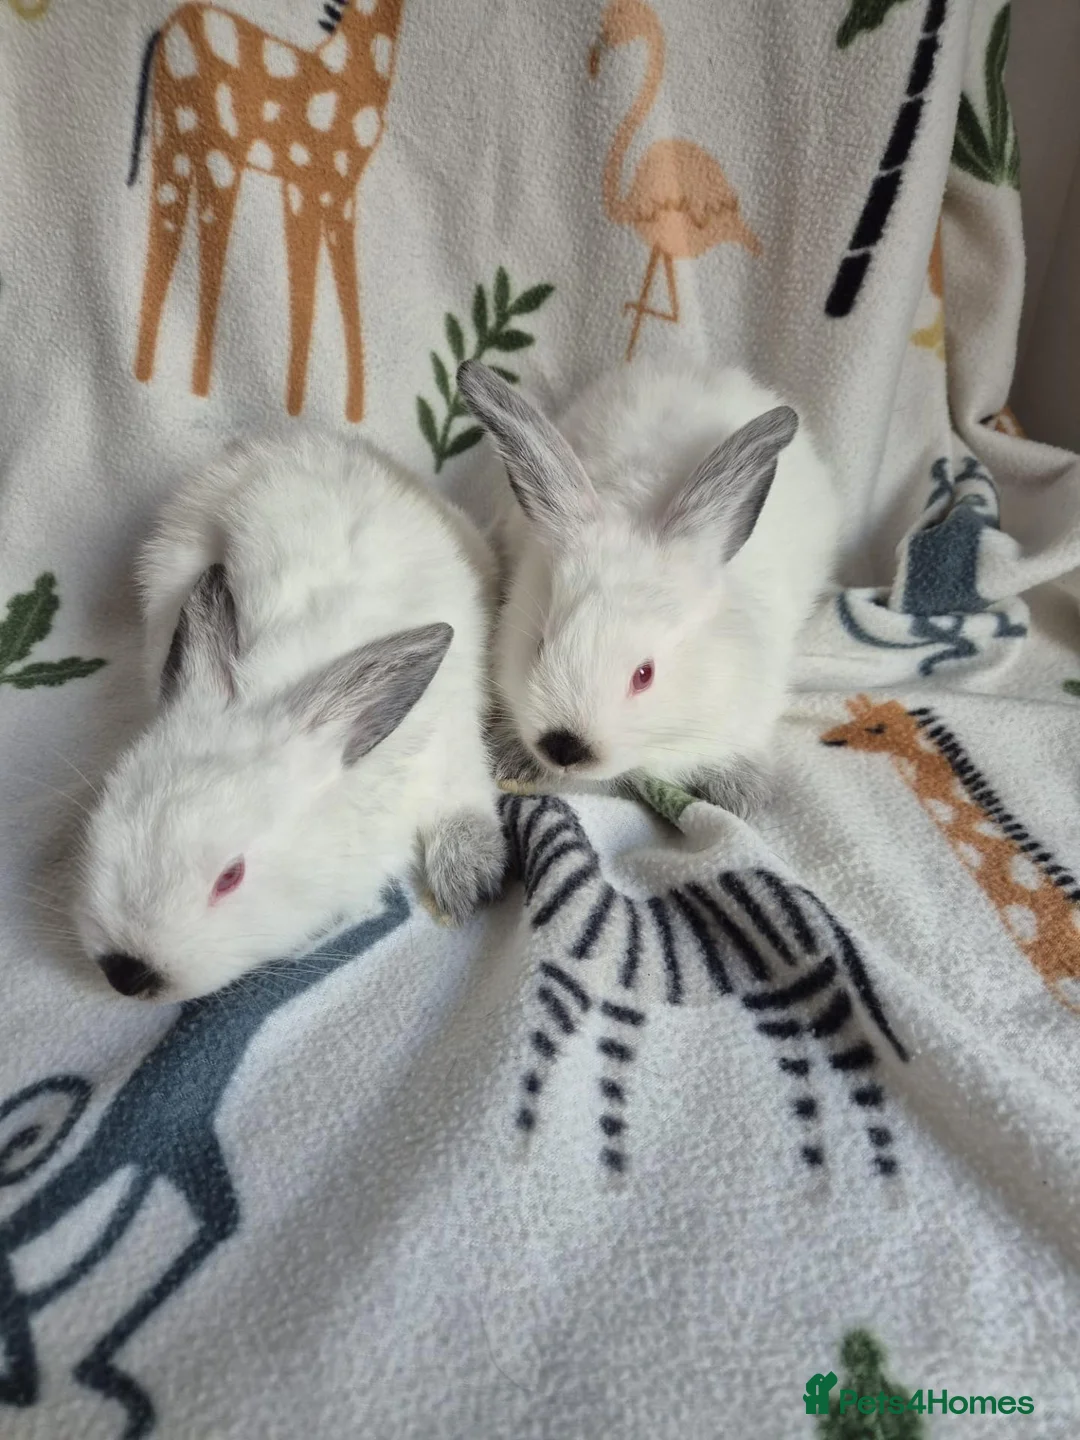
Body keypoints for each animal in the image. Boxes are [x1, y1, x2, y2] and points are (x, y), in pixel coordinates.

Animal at [75, 433, 506, 1002]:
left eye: (230, 876)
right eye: (103, 814)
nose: (126, 973)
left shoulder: (451, 755)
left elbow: (463, 807)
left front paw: (470, 882)